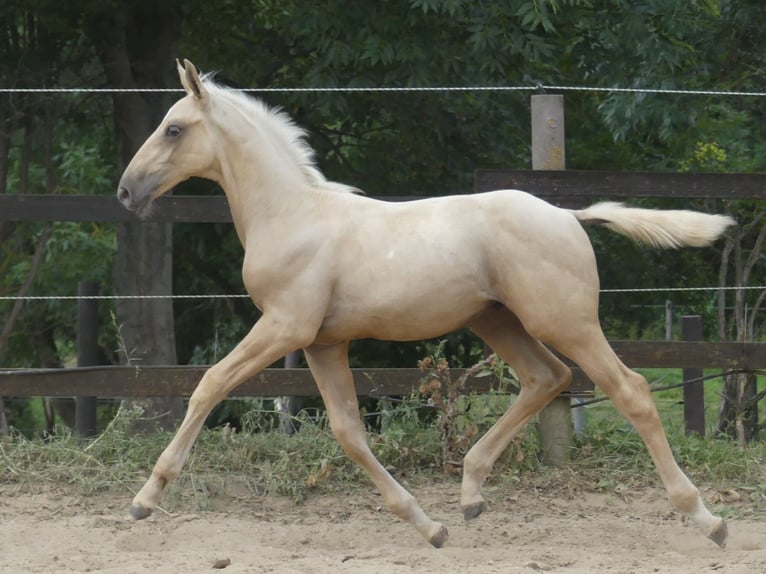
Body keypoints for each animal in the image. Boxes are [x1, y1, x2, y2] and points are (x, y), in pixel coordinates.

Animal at [118, 60, 736, 552]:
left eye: (174, 128)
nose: (126, 191)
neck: (292, 215)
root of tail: (568, 215)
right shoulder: (323, 342)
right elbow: (348, 432)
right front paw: (428, 526)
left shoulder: (285, 327)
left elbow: (209, 385)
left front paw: (145, 499)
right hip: (499, 321)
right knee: (547, 377)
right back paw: (469, 494)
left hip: (566, 321)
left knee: (629, 390)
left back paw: (707, 519)